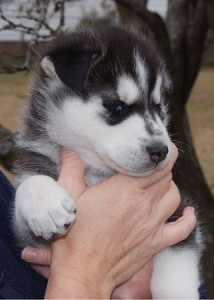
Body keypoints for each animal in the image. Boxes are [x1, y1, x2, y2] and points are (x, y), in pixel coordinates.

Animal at [13, 26, 202, 300]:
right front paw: (46, 205)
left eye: (158, 106)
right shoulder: (32, 242)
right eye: (117, 106)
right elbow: (29, 185)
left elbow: (174, 275)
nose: (160, 150)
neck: (97, 173)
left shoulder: (180, 212)